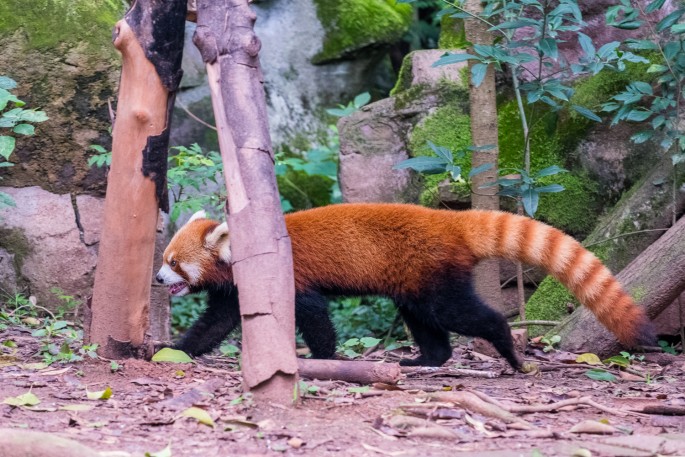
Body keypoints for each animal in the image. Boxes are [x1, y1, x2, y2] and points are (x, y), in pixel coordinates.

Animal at [158, 203, 656, 370]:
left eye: (175, 263)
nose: (159, 280)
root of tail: (449, 221)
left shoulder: (290, 276)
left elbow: (314, 316)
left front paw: (322, 359)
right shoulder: (233, 290)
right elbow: (215, 323)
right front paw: (175, 349)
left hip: (435, 277)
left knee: (465, 315)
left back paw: (510, 353)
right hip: (414, 283)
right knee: (425, 322)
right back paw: (427, 360)